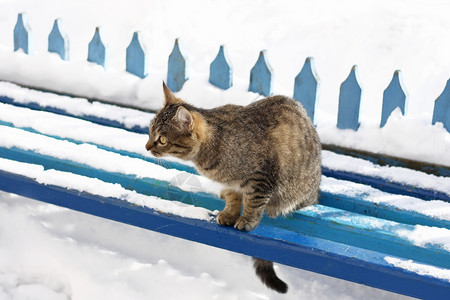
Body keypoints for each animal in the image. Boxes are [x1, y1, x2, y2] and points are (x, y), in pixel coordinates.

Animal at [146, 83, 322, 294]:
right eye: (149, 131)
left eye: (162, 140)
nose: (146, 146)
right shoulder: (231, 183)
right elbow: (233, 196)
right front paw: (230, 213)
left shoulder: (262, 178)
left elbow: (253, 202)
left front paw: (247, 219)